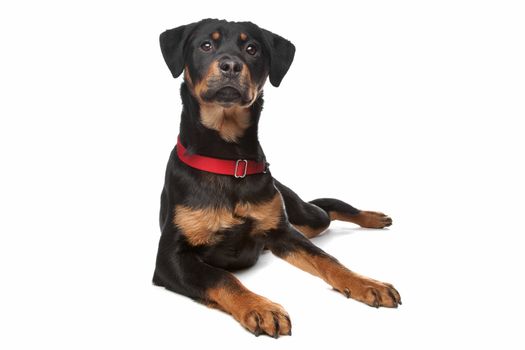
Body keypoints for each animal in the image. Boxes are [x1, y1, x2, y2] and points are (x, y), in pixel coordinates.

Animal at [154, 18, 400, 336]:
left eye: (252, 48)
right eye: (205, 45)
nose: (231, 65)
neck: (228, 160)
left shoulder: (283, 232)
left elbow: (327, 260)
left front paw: (366, 283)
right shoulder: (170, 258)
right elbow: (220, 277)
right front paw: (259, 307)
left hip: (304, 219)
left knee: (327, 211)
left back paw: (373, 218)